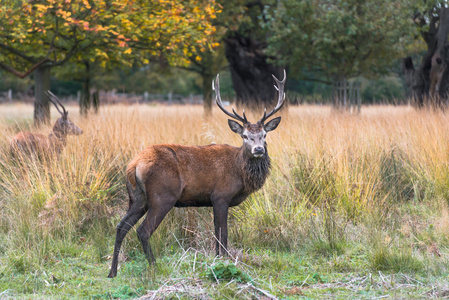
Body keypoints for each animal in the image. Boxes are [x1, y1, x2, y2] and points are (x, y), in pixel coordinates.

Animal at [107, 69, 286, 276]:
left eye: (264, 135)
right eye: (245, 136)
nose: (258, 149)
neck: (240, 173)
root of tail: (134, 165)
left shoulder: (214, 200)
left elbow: (216, 233)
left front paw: (217, 260)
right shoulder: (221, 196)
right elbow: (223, 234)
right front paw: (225, 261)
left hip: (137, 198)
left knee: (121, 226)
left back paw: (113, 272)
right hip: (162, 196)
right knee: (143, 231)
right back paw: (154, 266)